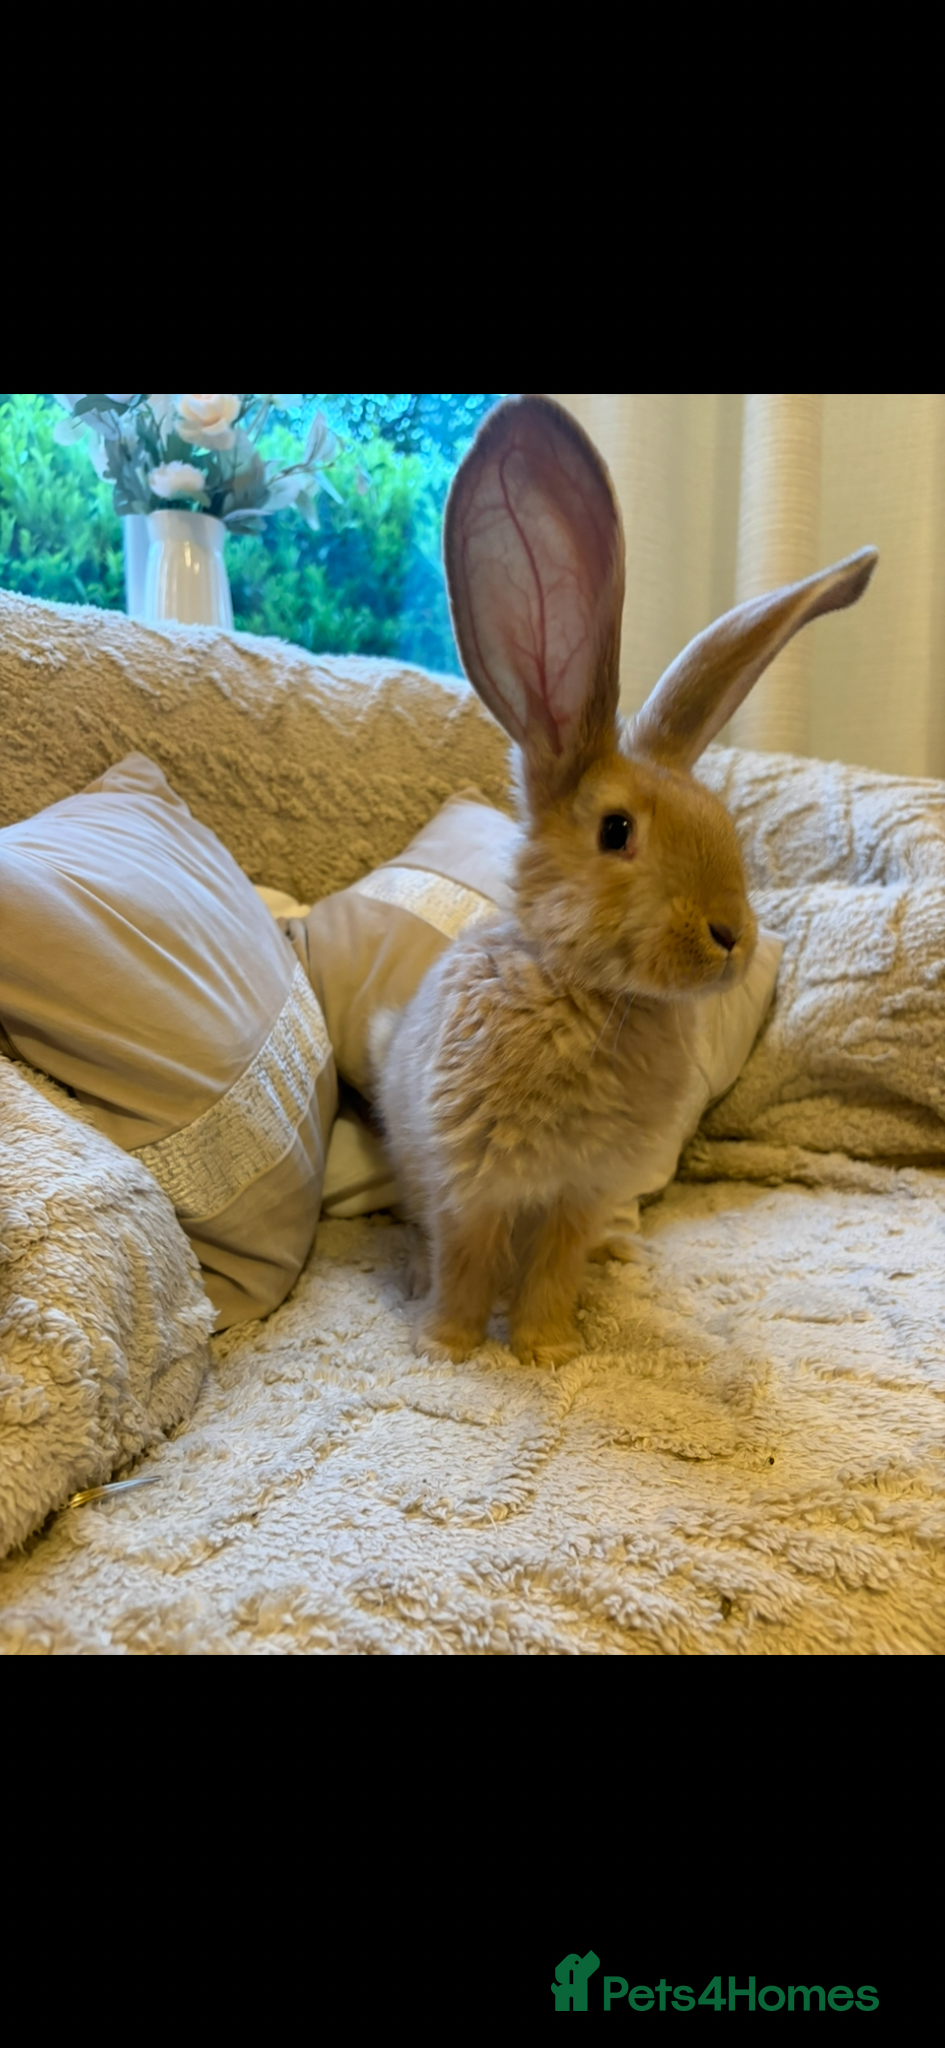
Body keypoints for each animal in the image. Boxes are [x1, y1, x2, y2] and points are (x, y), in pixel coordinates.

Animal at [372, 396, 877, 1369]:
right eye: (616, 832)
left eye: (722, 822)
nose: (730, 936)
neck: (583, 990)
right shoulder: (470, 1182)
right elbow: (465, 1260)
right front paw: (452, 1348)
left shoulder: (579, 1190)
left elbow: (555, 1266)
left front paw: (546, 1350)